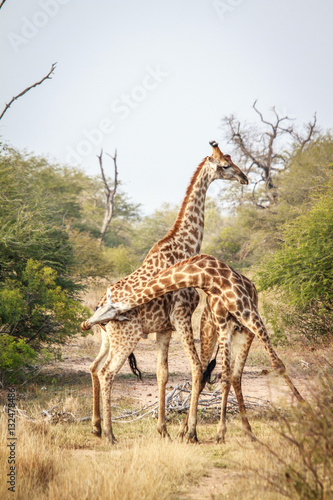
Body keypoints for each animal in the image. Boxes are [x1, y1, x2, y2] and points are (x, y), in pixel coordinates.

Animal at [82, 254, 304, 442]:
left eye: (103, 310)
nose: (87, 324)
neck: (207, 275)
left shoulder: (250, 315)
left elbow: (277, 364)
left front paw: (305, 407)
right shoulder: (223, 323)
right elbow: (222, 376)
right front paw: (217, 433)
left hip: (241, 331)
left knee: (232, 375)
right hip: (212, 330)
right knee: (215, 373)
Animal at [84, 143, 248, 444]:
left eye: (232, 161)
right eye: (225, 165)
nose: (245, 178)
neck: (186, 245)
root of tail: (98, 309)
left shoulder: (164, 328)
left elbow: (163, 373)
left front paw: (163, 429)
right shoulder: (182, 316)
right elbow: (196, 368)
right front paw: (191, 432)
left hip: (109, 338)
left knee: (94, 368)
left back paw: (97, 427)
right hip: (127, 338)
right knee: (107, 373)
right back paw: (111, 434)